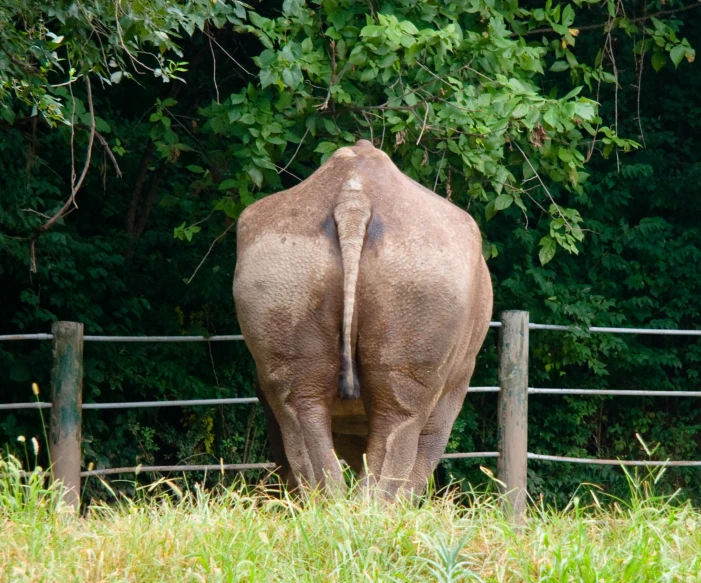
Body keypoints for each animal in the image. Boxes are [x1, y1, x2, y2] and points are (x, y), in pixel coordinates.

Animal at [234, 138, 492, 498]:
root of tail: (355, 197)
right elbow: (426, 449)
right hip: (423, 266)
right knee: (403, 417)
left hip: (282, 260)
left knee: (301, 404)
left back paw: (331, 506)